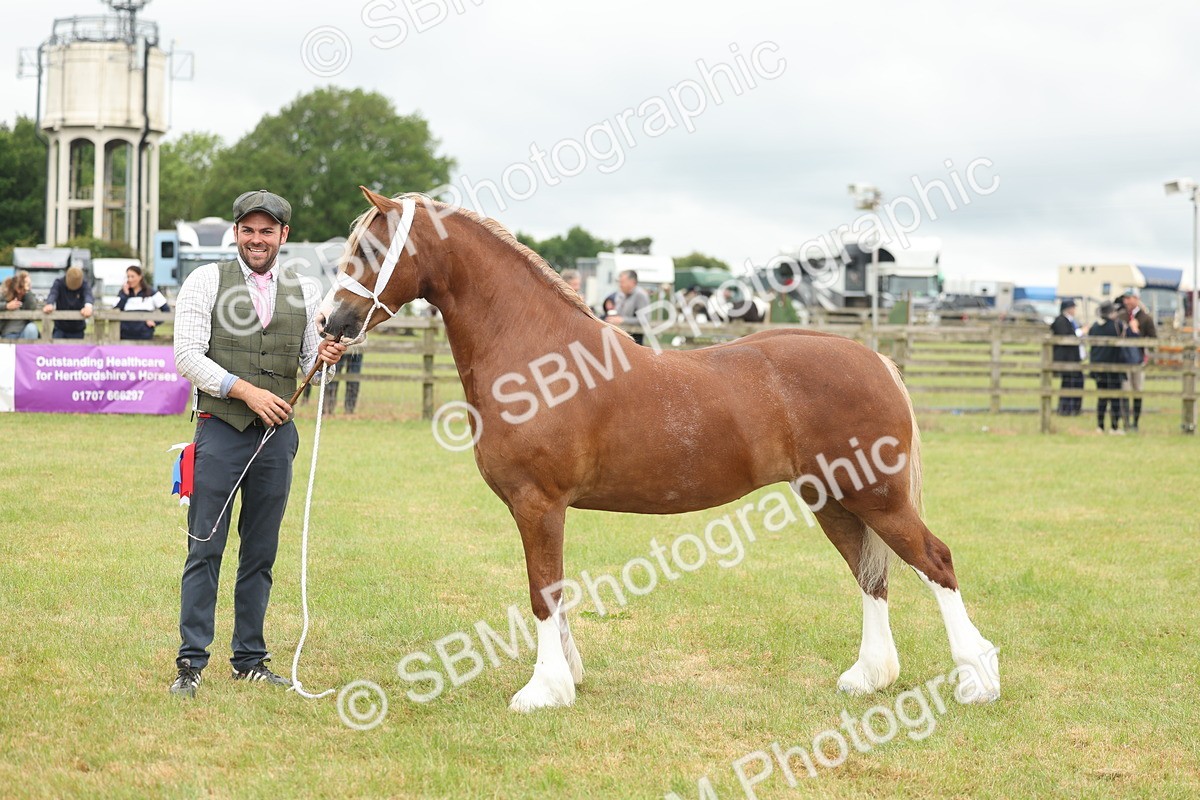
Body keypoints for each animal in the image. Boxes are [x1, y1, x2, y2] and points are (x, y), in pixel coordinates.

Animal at [322, 187, 1000, 712]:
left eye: (370, 250)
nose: (332, 324)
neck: (537, 355)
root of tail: (875, 359)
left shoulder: (537, 503)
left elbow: (542, 591)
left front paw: (543, 691)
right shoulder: (545, 510)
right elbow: (556, 589)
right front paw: (568, 677)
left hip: (876, 495)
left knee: (935, 561)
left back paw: (976, 680)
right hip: (832, 498)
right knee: (870, 575)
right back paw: (869, 677)